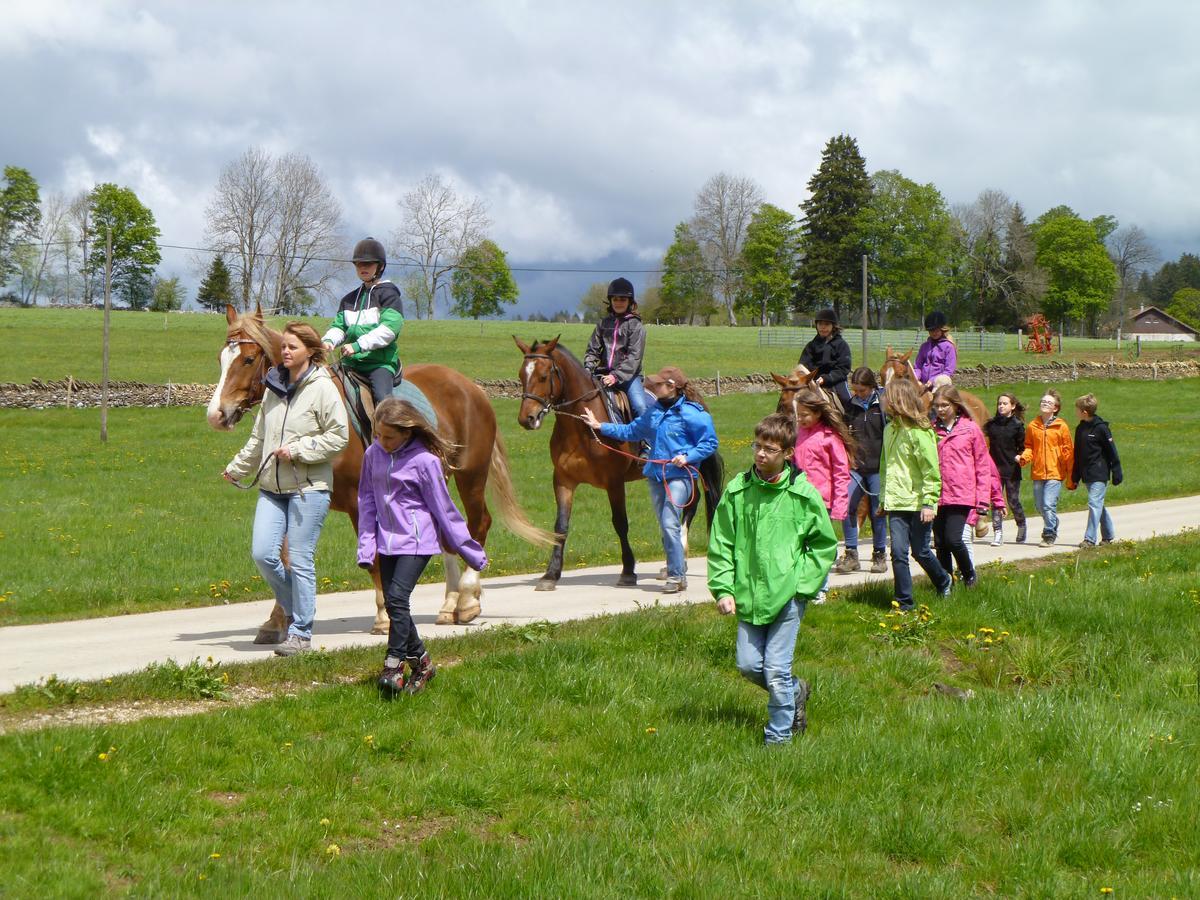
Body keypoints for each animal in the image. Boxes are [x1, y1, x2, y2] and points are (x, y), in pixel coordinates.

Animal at [207, 307, 552, 638]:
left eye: (248, 359)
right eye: (221, 358)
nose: (216, 415)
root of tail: (471, 388)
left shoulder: (359, 502)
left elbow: (372, 560)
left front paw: (385, 617)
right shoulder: (293, 499)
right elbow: (284, 557)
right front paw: (278, 620)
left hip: (472, 476)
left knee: (479, 524)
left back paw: (467, 600)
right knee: (447, 532)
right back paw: (449, 604)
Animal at [513, 336, 720, 592]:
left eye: (543, 376)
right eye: (521, 375)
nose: (527, 419)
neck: (581, 428)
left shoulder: (614, 482)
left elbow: (620, 523)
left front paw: (628, 571)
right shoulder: (563, 480)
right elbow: (560, 527)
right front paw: (551, 574)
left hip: (689, 469)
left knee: (690, 505)